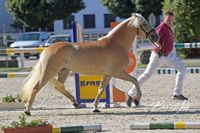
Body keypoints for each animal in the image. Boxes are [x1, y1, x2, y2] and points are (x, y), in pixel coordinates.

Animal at [21, 13, 159, 115]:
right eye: (145, 23)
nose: (156, 36)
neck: (116, 44)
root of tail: (47, 49)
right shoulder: (118, 73)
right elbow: (135, 80)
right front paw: (136, 100)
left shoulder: (108, 75)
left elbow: (100, 89)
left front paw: (95, 108)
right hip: (49, 72)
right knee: (36, 87)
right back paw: (27, 111)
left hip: (63, 71)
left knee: (59, 87)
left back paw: (75, 103)